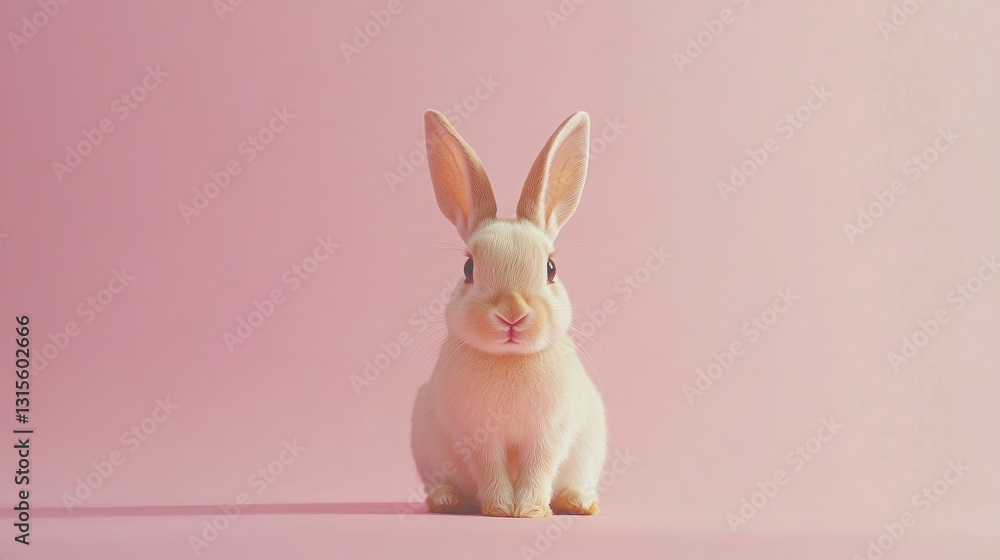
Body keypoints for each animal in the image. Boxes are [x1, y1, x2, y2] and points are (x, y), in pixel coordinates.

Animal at [409, 109, 608, 518]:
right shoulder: (479, 439)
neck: (510, 359)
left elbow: (538, 469)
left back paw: (578, 503)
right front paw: (501, 509)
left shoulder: (548, 435)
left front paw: (530, 511)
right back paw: (447, 500)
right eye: (468, 269)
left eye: (550, 268)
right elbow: (492, 469)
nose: (512, 314)